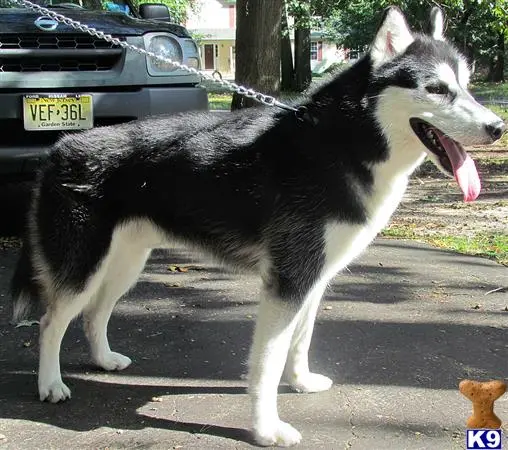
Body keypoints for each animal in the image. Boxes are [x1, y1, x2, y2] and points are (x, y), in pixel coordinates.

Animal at [10, 6, 504, 446]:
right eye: (436, 89)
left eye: (466, 85)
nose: (497, 127)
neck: (341, 143)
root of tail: (59, 148)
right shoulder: (287, 282)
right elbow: (266, 364)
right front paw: (268, 430)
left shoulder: (312, 279)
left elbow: (299, 343)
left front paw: (301, 381)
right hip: (82, 266)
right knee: (51, 321)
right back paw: (50, 384)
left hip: (124, 265)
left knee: (94, 313)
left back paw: (103, 359)